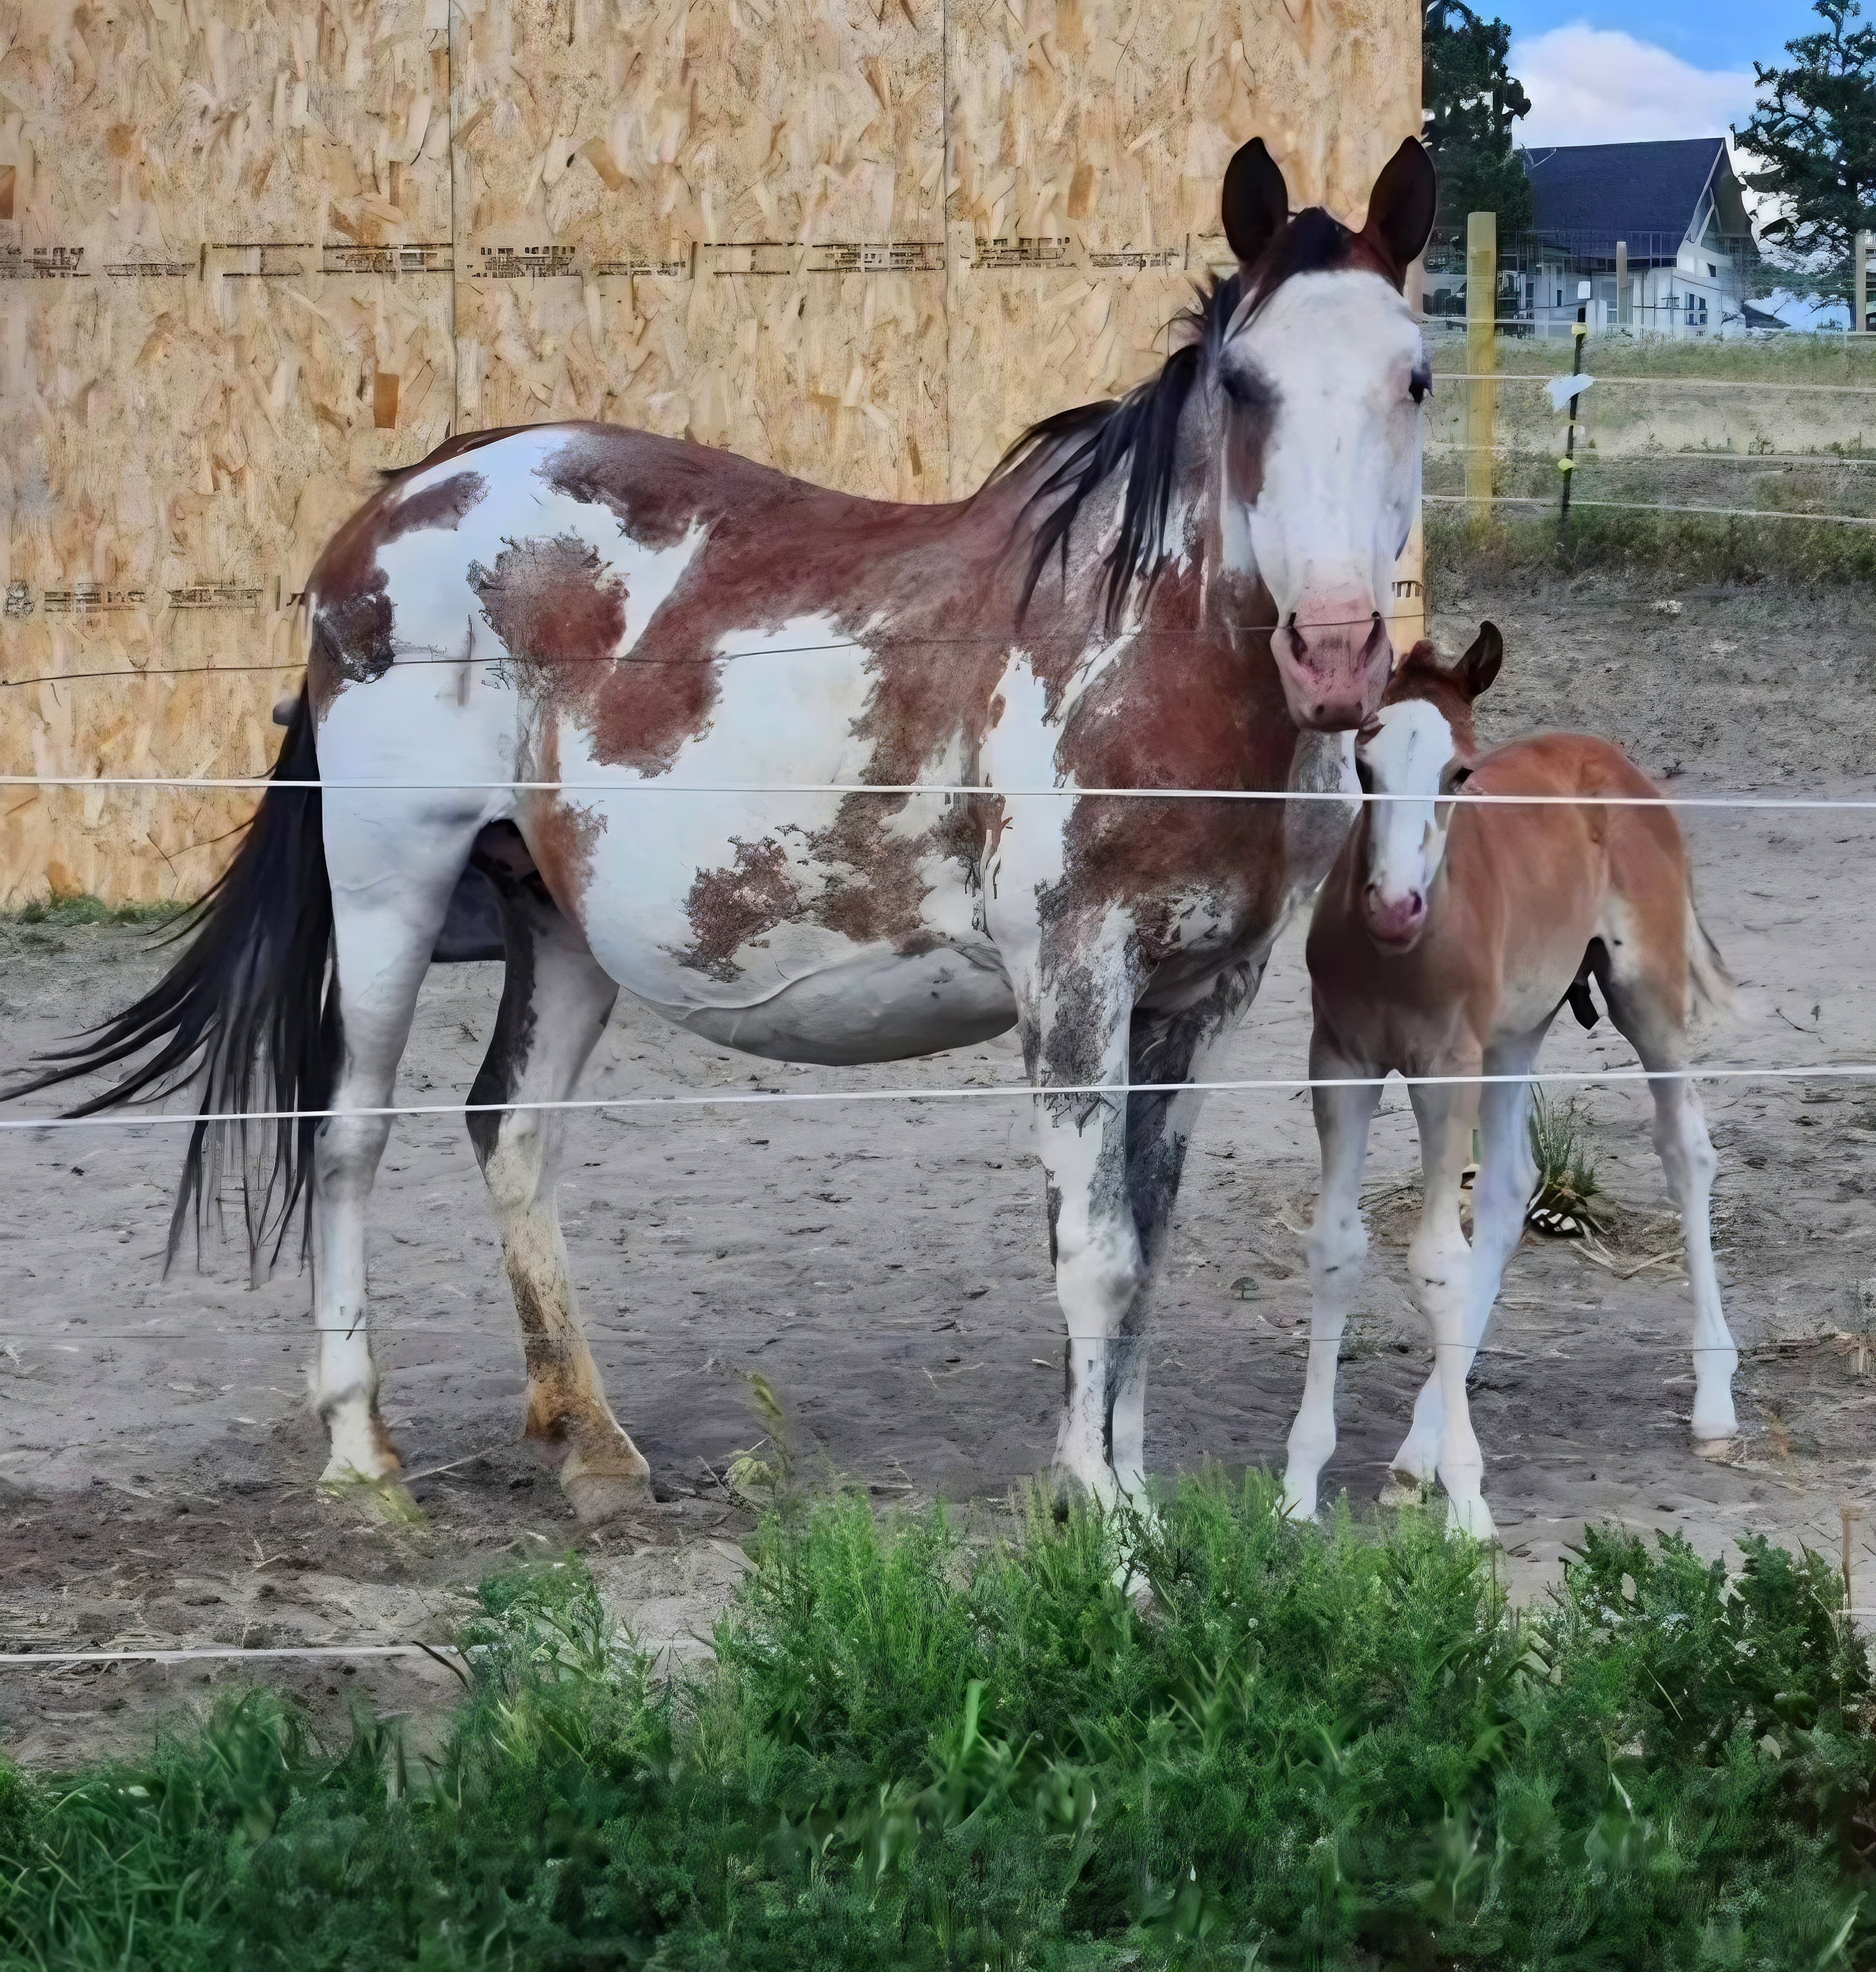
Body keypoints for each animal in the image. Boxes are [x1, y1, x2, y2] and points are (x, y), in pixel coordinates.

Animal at [11, 135, 1439, 1523]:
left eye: (1414, 377)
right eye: (1245, 384)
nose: (1333, 651)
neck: (1145, 654)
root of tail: (401, 500)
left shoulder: (1198, 999)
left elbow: (1143, 1255)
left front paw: (1124, 1493)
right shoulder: (1072, 978)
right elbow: (1095, 1258)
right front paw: (1106, 1535)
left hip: (556, 921)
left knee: (510, 1129)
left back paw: (591, 1447)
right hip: (387, 888)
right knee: (349, 1132)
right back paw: (362, 1454)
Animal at [1280, 629, 1739, 1539]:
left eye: (1458, 771)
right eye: (1362, 763)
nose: (1394, 905)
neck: (1398, 955)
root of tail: (1612, 762)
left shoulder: (1444, 1065)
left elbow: (1435, 1262)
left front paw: (1467, 1506)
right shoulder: (1340, 1061)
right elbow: (1337, 1247)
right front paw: (1298, 1483)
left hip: (1645, 996)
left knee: (1686, 1150)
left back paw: (1713, 1399)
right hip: (1515, 1032)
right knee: (1508, 1188)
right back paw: (1416, 1450)